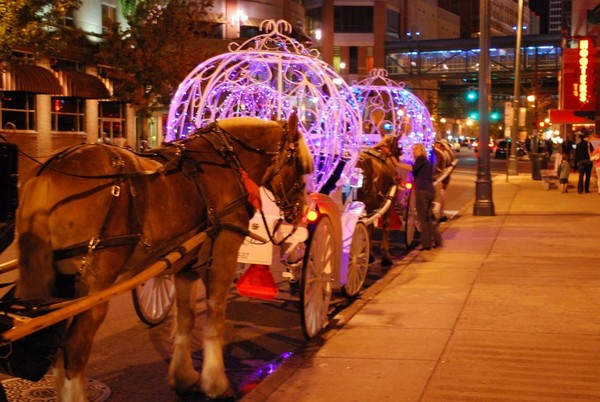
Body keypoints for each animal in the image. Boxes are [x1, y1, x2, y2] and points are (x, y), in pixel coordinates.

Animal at [14, 113, 314, 398]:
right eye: (300, 165)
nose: (301, 209)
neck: (226, 161)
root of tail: (48, 170)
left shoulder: (186, 267)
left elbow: (185, 319)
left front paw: (184, 378)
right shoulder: (223, 257)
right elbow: (215, 318)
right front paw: (215, 384)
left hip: (61, 282)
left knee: (58, 352)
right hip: (95, 282)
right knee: (75, 349)